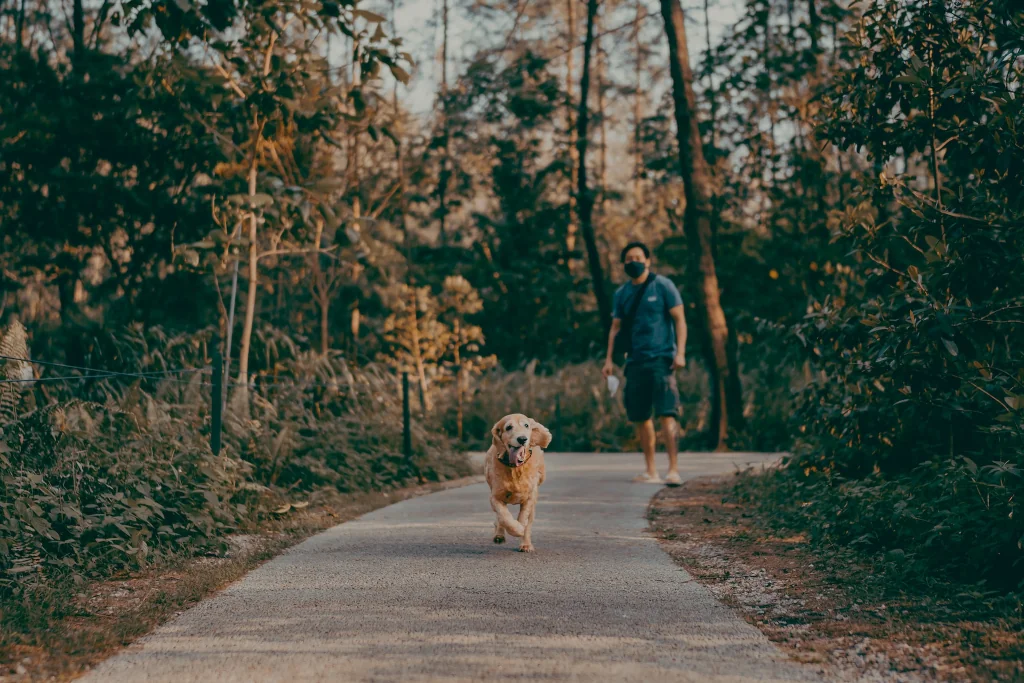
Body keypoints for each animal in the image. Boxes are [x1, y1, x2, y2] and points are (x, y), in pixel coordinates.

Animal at [485, 413, 552, 552]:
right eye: (508, 427)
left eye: (526, 425)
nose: (522, 439)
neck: (515, 468)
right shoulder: (495, 497)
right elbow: (504, 516)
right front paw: (516, 529)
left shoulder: (530, 497)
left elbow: (524, 516)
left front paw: (522, 531)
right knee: (500, 519)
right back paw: (499, 535)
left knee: (529, 521)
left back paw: (526, 544)